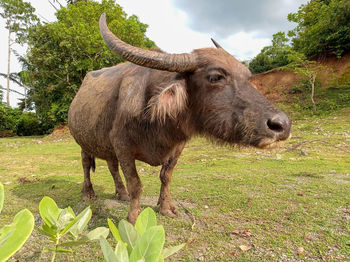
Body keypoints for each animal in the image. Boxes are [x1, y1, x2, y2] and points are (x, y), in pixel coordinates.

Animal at [67, 13, 292, 224]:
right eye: (215, 77)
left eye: (248, 76)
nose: (282, 125)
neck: (156, 118)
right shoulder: (122, 145)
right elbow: (136, 184)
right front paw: (133, 218)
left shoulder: (178, 146)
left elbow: (166, 177)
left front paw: (167, 207)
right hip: (83, 141)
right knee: (86, 164)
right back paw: (88, 193)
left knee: (112, 167)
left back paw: (121, 193)